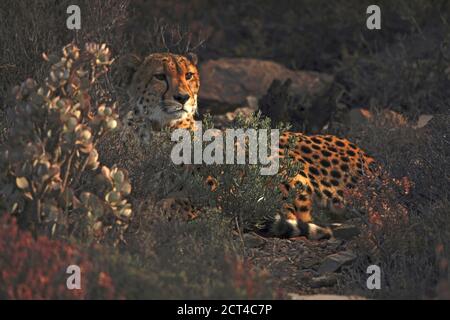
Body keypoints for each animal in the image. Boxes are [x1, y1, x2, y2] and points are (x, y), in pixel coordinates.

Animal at [117, 52, 376, 239]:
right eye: (160, 76)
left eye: (188, 75)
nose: (183, 98)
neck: (158, 128)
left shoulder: (220, 192)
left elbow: (188, 201)